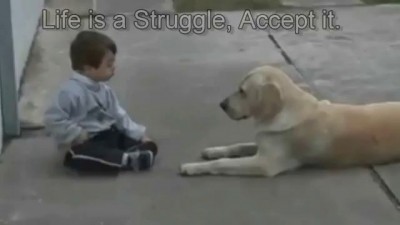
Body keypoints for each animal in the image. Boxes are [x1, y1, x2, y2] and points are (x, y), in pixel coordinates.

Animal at [180, 64, 400, 177]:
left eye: (242, 92)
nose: (222, 104)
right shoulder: (263, 142)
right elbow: (238, 146)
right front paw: (213, 151)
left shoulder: (265, 163)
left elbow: (223, 163)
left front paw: (192, 167)